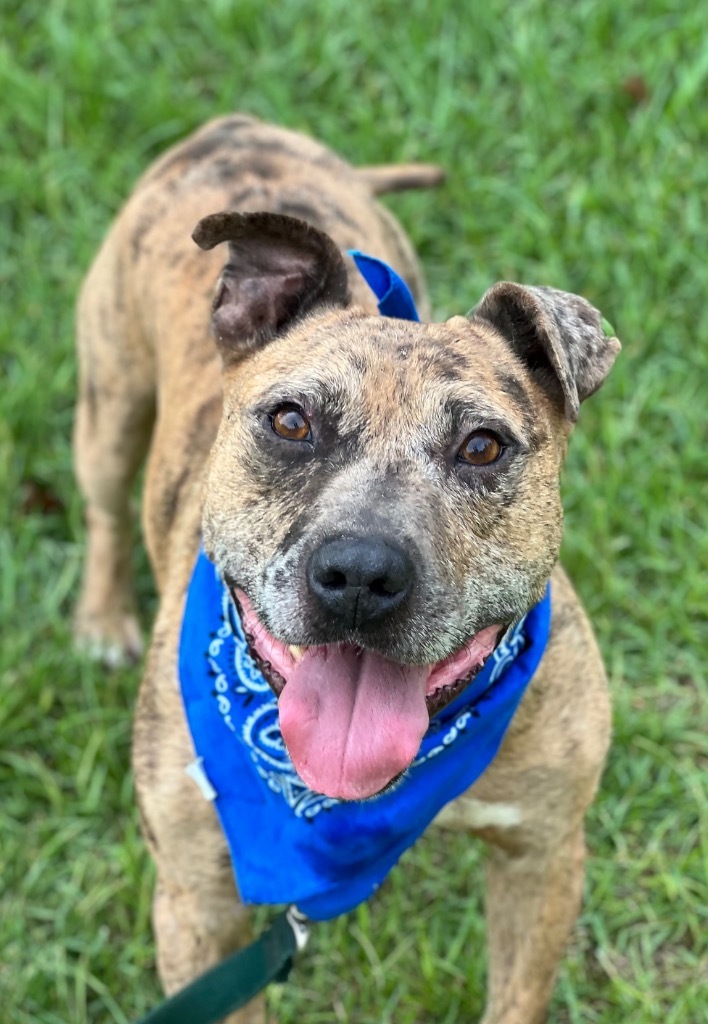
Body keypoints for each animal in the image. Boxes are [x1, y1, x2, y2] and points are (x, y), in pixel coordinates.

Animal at [73, 114, 618, 1024]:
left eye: (482, 447)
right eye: (291, 422)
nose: (360, 573)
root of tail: (241, 127)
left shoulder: (542, 858)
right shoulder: (198, 906)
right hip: (108, 403)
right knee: (107, 511)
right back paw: (101, 617)